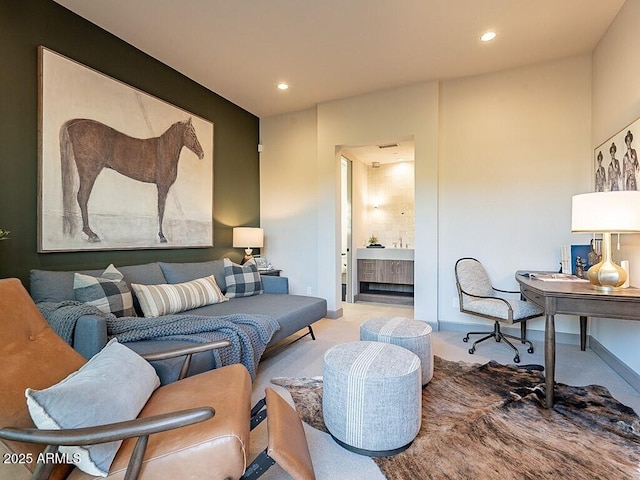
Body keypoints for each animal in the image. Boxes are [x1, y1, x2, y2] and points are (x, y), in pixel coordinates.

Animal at [60, 116, 202, 244]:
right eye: (192, 133)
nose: (202, 154)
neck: (164, 149)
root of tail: (74, 122)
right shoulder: (162, 186)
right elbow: (161, 209)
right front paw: (162, 236)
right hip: (89, 172)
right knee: (82, 197)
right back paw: (91, 234)